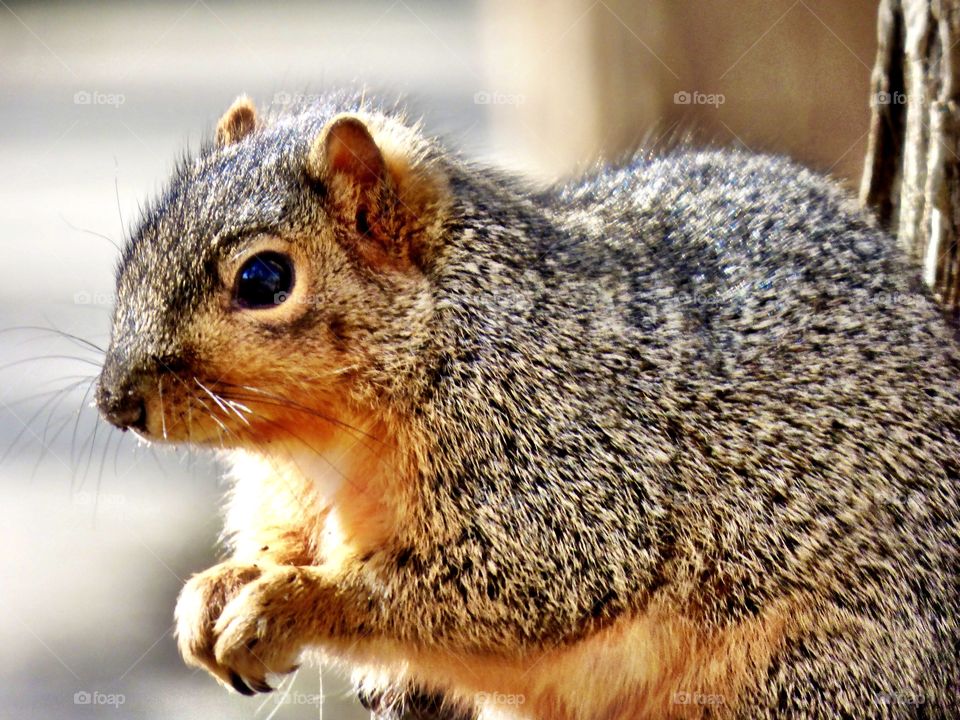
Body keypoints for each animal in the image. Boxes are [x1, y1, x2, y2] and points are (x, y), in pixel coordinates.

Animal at [95, 91, 960, 720]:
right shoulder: (288, 491)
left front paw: (288, 603)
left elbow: (519, 581)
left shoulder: (566, 469)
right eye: (136, 248)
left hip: (818, 669)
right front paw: (219, 589)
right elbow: (279, 540)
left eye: (265, 279)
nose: (114, 402)